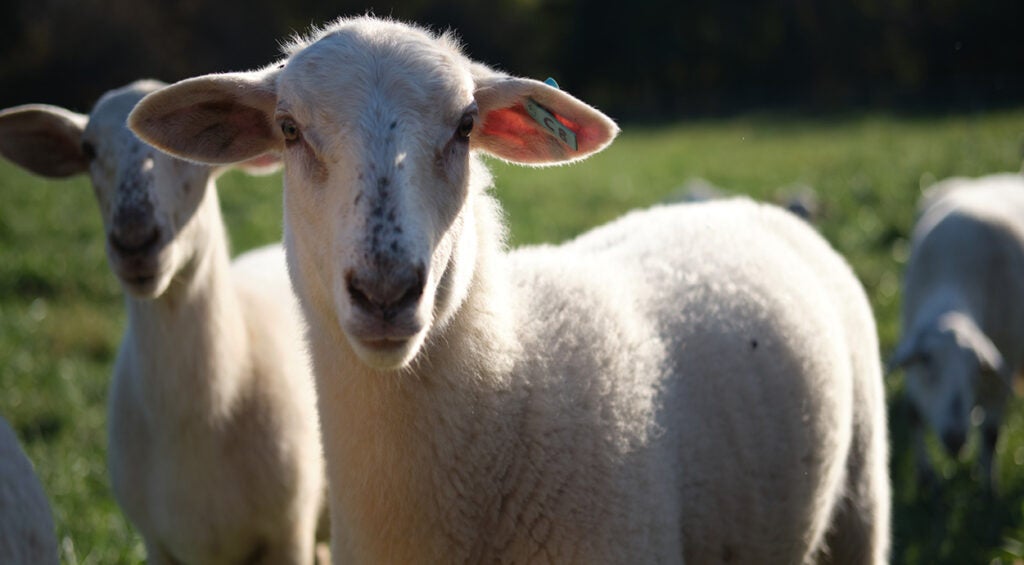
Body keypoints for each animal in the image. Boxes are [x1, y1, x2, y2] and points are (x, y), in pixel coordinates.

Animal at [889, 172, 1024, 491]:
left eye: (976, 366)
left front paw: (988, 487)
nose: (955, 440)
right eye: (927, 360)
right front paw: (926, 475)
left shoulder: (1000, 375)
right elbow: (914, 415)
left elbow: (991, 434)